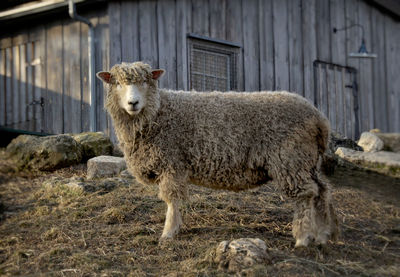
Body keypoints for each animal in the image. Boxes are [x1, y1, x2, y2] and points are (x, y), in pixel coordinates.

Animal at [97, 62, 338, 246]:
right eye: (117, 83)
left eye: (145, 82)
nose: (133, 103)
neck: (158, 112)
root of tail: (319, 118)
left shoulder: (172, 161)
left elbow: (172, 199)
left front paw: (168, 233)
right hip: (306, 161)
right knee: (322, 191)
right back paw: (323, 235)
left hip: (290, 159)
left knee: (306, 195)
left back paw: (303, 239)